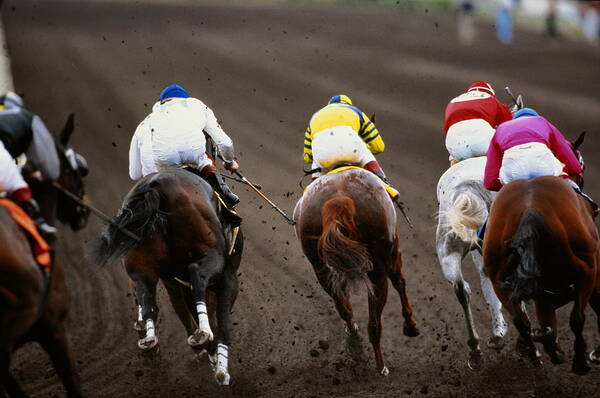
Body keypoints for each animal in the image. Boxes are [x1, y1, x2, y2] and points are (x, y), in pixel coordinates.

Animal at [92, 168, 243, 386]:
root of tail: (156, 186)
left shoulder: (173, 282)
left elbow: (182, 308)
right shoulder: (227, 279)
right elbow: (221, 323)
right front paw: (220, 367)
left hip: (140, 265)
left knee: (147, 298)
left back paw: (149, 338)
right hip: (211, 255)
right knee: (196, 275)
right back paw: (203, 335)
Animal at [294, 169, 418, 376]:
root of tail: (338, 201)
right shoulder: (394, 253)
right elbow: (400, 282)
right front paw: (411, 325)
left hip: (320, 267)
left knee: (343, 307)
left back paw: (353, 334)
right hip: (377, 268)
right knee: (374, 323)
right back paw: (381, 366)